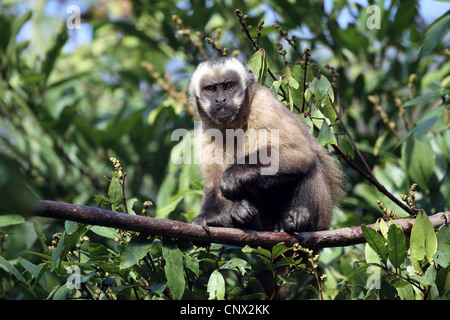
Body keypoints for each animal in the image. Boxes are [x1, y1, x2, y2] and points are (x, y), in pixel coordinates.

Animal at [186, 56, 344, 234]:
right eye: (211, 89)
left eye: (229, 86)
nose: (220, 100)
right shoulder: (205, 129)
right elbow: (214, 183)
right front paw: (216, 217)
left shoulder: (264, 104)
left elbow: (299, 153)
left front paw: (235, 174)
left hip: (322, 218)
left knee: (310, 160)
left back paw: (301, 216)